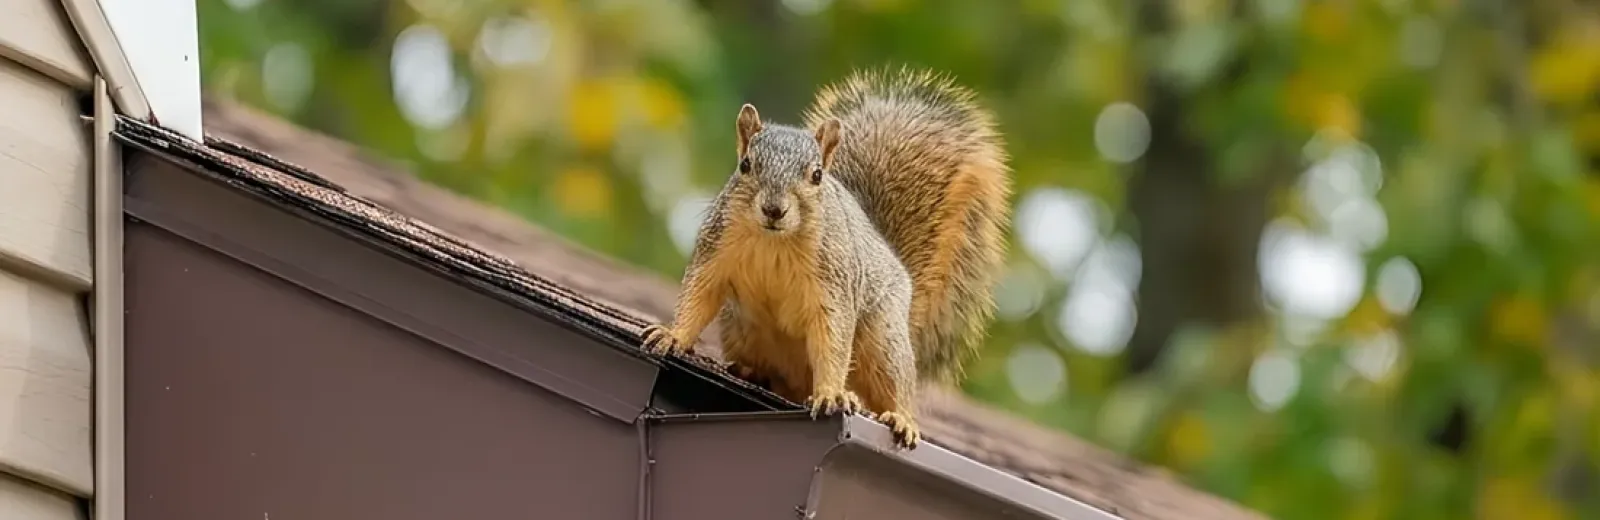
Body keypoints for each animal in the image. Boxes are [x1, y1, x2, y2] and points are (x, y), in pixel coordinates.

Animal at [641, 67, 1012, 449]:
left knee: (894, 383)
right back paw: (750, 370)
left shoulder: (834, 284)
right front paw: (672, 336)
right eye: (745, 165)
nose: (774, 209)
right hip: (739, 326)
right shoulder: (716, 249)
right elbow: (698, 295)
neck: (775, 242)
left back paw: (898, 417)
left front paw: (832, 394)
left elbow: (832, 335)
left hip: (884, 339)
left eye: (817, 175)